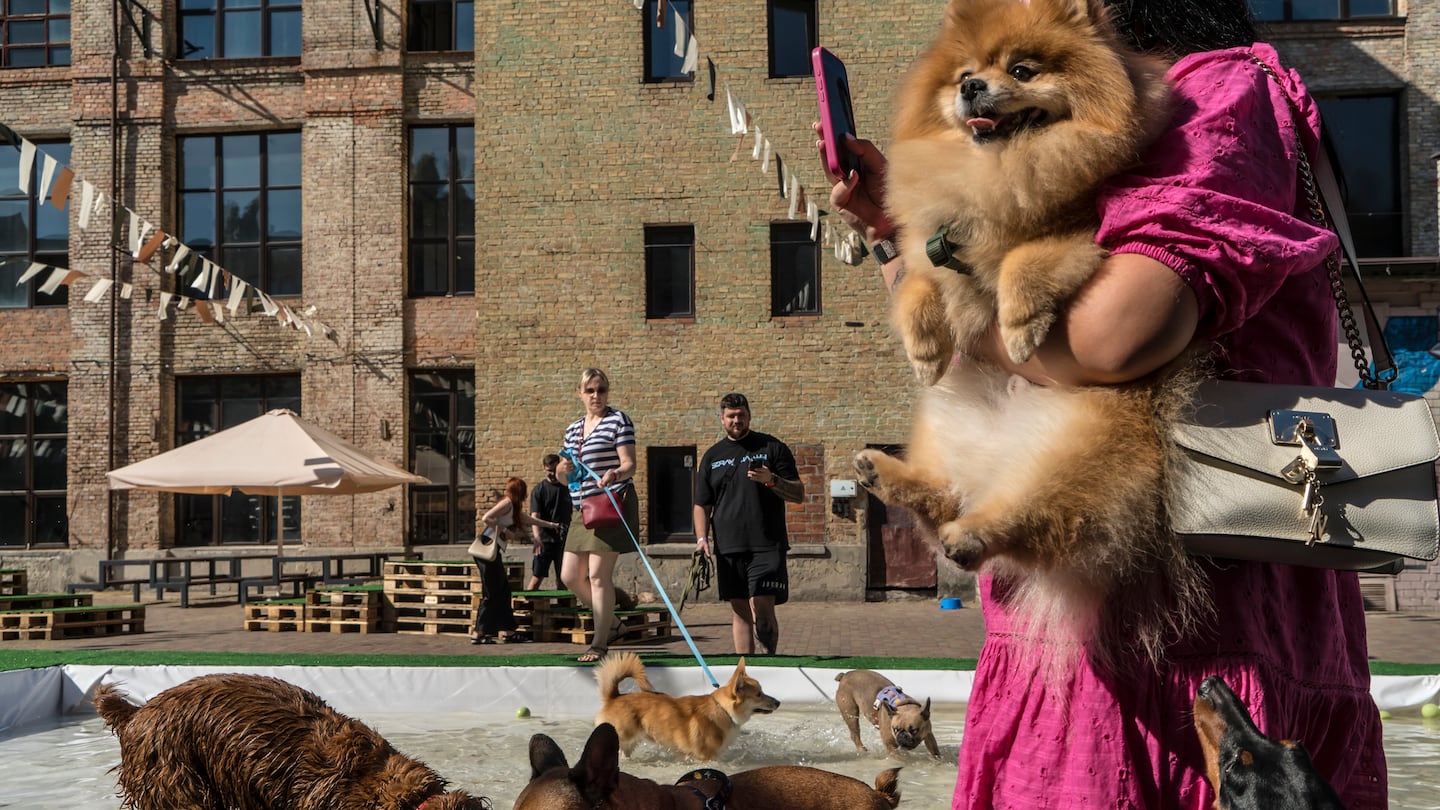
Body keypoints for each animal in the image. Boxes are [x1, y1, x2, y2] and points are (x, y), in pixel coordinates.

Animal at [852, 0, 1203, 665]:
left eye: (1021, 69)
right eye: (964, 73)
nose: (971, 88)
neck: (996, 171)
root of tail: (1002, 457)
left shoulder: (1084, 237)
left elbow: (1023, 261)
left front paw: (1018, 330)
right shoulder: (931, 246)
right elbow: (916, 287)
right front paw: (924, 348)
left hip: (1085, 447)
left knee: (1038, 520)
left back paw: (975, 532)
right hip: (945, 415)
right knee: (945, 493)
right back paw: (887, 474)